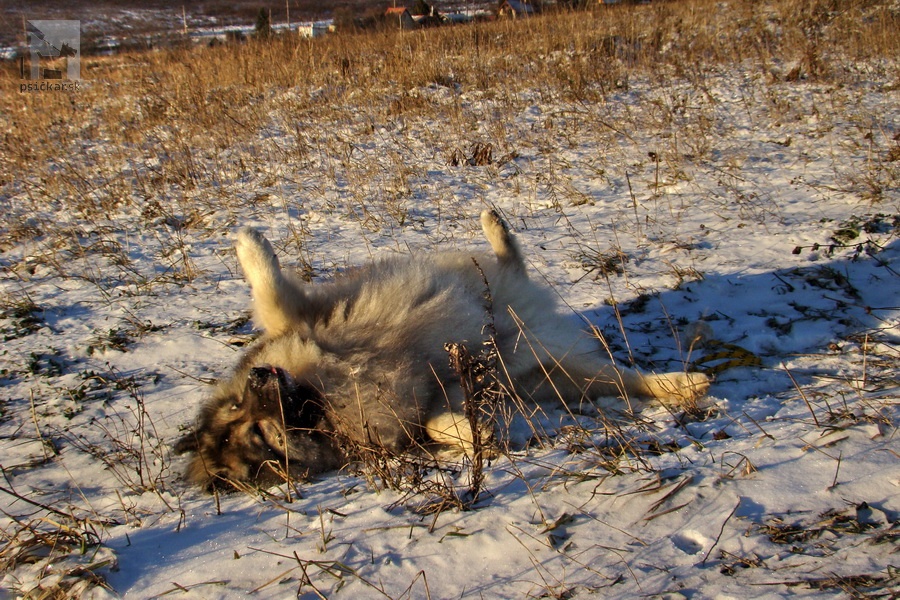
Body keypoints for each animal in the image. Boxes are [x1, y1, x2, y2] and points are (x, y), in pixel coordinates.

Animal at [176, 209, 712, 490]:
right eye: (260, 436)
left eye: (239, 407)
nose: (258, 377)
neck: (323, 398)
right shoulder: (428, 399)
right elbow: (439, 425)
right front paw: (479, 437)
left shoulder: (302, 319)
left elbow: (268, 287)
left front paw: (248, 240)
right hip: (550, 371)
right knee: (623, 380)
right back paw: (682, 385)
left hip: (521, 322)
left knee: (510, 261)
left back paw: (494, 224)